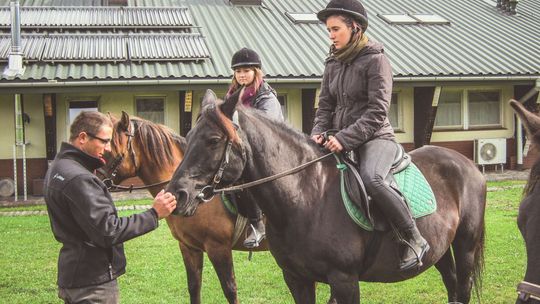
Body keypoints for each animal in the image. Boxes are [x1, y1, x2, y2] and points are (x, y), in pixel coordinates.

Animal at [167, 90, 488, 304]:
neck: (306, 196)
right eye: (189, 136)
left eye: (213, 140)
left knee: (462, 286)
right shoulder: (296, 279)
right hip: (440, 249)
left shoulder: (344, 281)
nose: (177, 194)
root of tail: (468, 164)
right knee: (451, 284)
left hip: (465, 246)